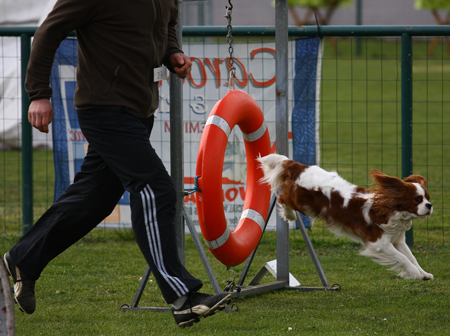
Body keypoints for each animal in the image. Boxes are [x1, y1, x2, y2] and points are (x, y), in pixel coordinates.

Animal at [258, 154, 434, 280]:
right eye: (417, 199)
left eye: (427, 197)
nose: (430, 205)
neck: (391, 211)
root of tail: (300, 167)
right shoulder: (379, 244)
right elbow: (403, 259)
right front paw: (415, 274)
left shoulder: (397, 240)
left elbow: (411, 257)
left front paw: (424, 274)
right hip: (302, 202)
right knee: (282, 198)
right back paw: (290, 214)